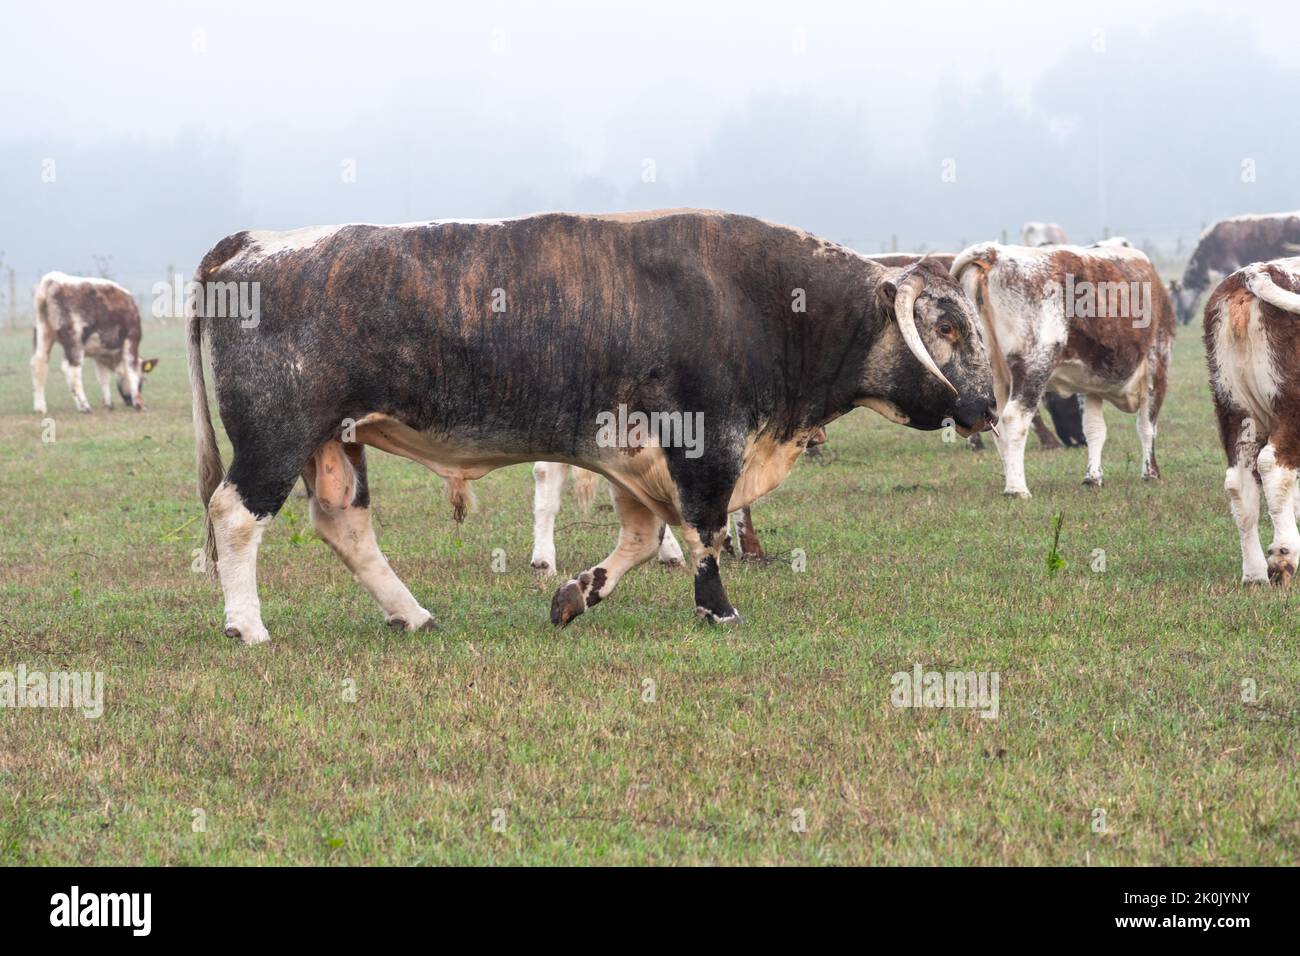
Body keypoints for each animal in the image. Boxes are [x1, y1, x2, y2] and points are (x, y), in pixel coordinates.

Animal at [31, 273, 157, 416]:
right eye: (144, 378)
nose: (129, 402)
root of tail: (53, 279)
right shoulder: (132, 339)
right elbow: (131, 370)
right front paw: (139, 404)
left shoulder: (99, 354)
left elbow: (103, 378)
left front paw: (108, 404)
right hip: (75, 340)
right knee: (71, 370)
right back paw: (85, 407)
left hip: (42, 334)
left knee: (39, 364)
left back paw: (40, 407)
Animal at [183, 208, 993, 642]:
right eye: (948, 326)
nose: (986, 407)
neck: (762, 299)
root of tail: (254, 242)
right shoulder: (704, 444)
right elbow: (705, 531)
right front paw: (718, 609)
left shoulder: (630, 458)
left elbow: (638, 539)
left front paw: (577, 593)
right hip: (275, 436)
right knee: (236, 515)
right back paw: (247, 625)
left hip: (333, 442)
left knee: (344, 525)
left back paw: (411, 614)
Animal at [1201, 254, 1300, 582]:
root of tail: (1255, 271)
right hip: (1290, 408)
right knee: (1274, 467)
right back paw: (1283, 556)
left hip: (1234, 408)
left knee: (1239, 483)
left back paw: (1255, 574)